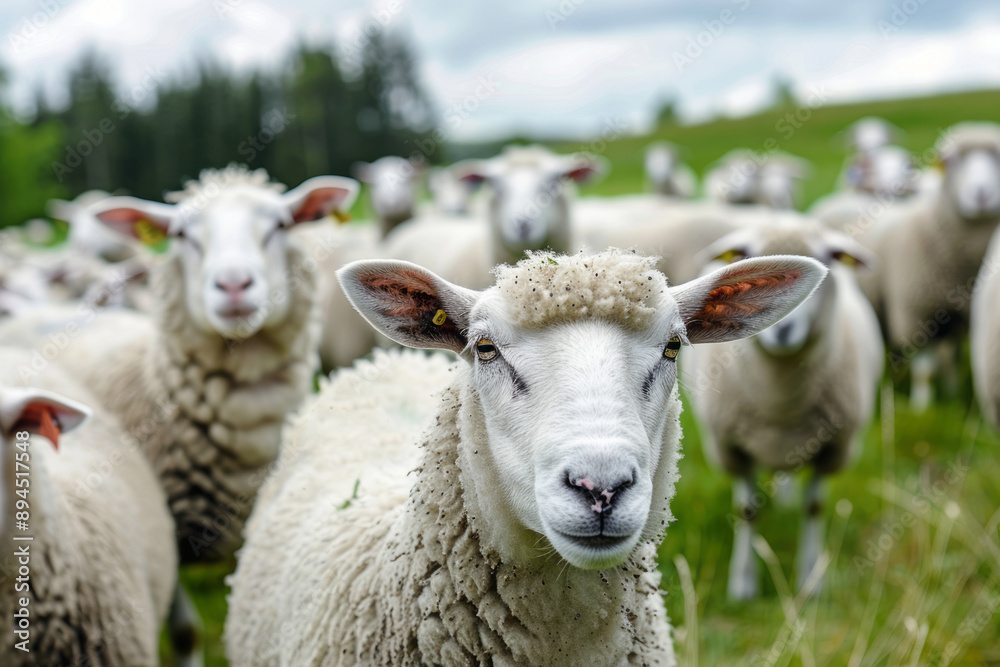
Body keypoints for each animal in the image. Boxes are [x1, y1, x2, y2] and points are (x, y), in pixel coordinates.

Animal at [682, 216, 882, 600]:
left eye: (828, 258)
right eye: (747, 255)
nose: (783, 329)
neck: (781, 401)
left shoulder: (834, 447)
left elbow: (814, 507)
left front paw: (811, 579)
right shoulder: (731, 448)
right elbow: (746, 509)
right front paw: (743, 584)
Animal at [858, 122, 1000, 411]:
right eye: (953, 161)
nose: (982, 195)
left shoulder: (957, 316)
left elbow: (952, 358)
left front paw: (953, 394)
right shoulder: (917, 314)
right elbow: (925, 369)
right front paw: (921, 407)